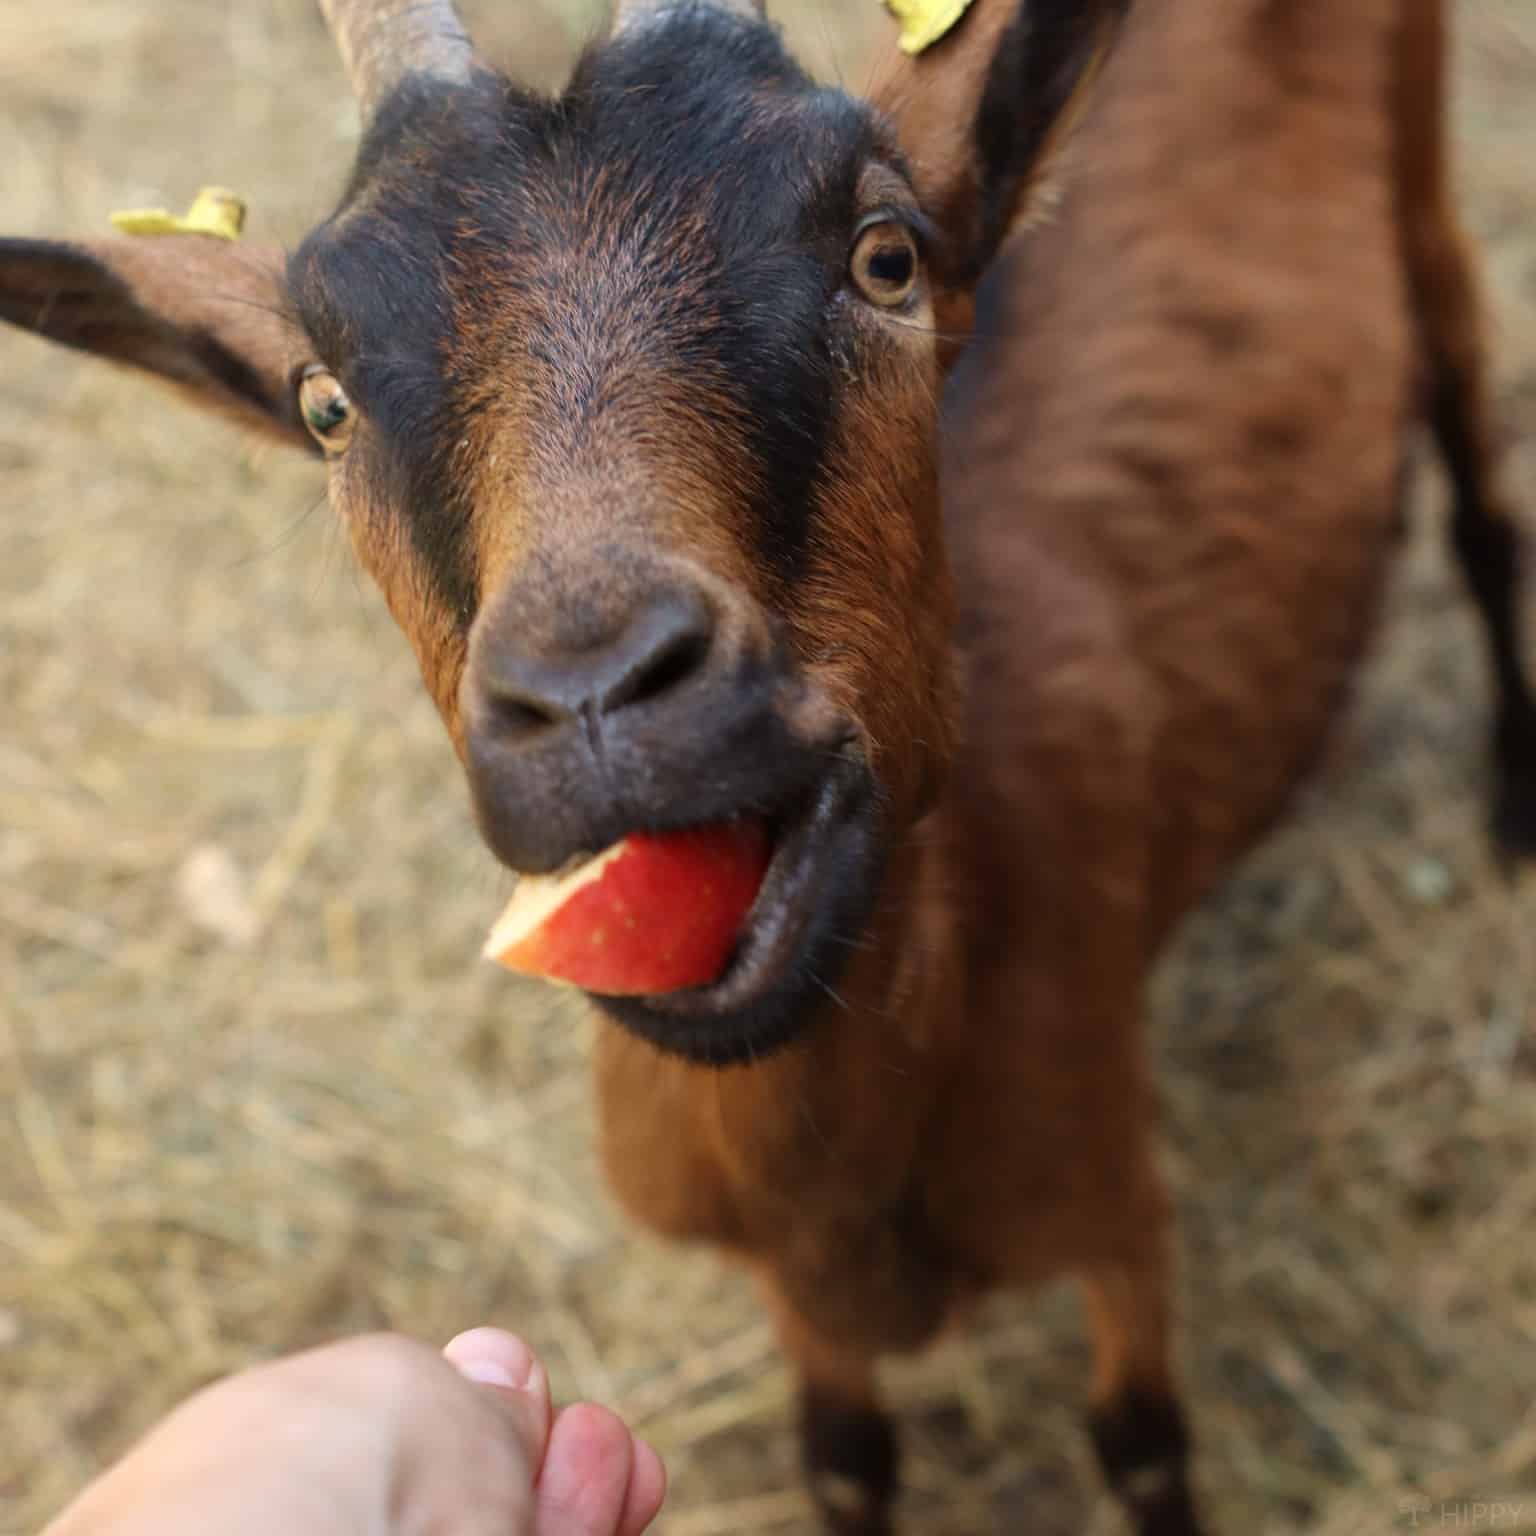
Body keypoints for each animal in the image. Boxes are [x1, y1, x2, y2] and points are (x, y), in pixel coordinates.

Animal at [0, 0, 1523, 1529]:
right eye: (323, 403)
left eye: (886, 256)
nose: (599, 696)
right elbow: (844, 1460)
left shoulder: (1114, 1203)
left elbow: (1144, 1445)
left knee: (1470, 444)